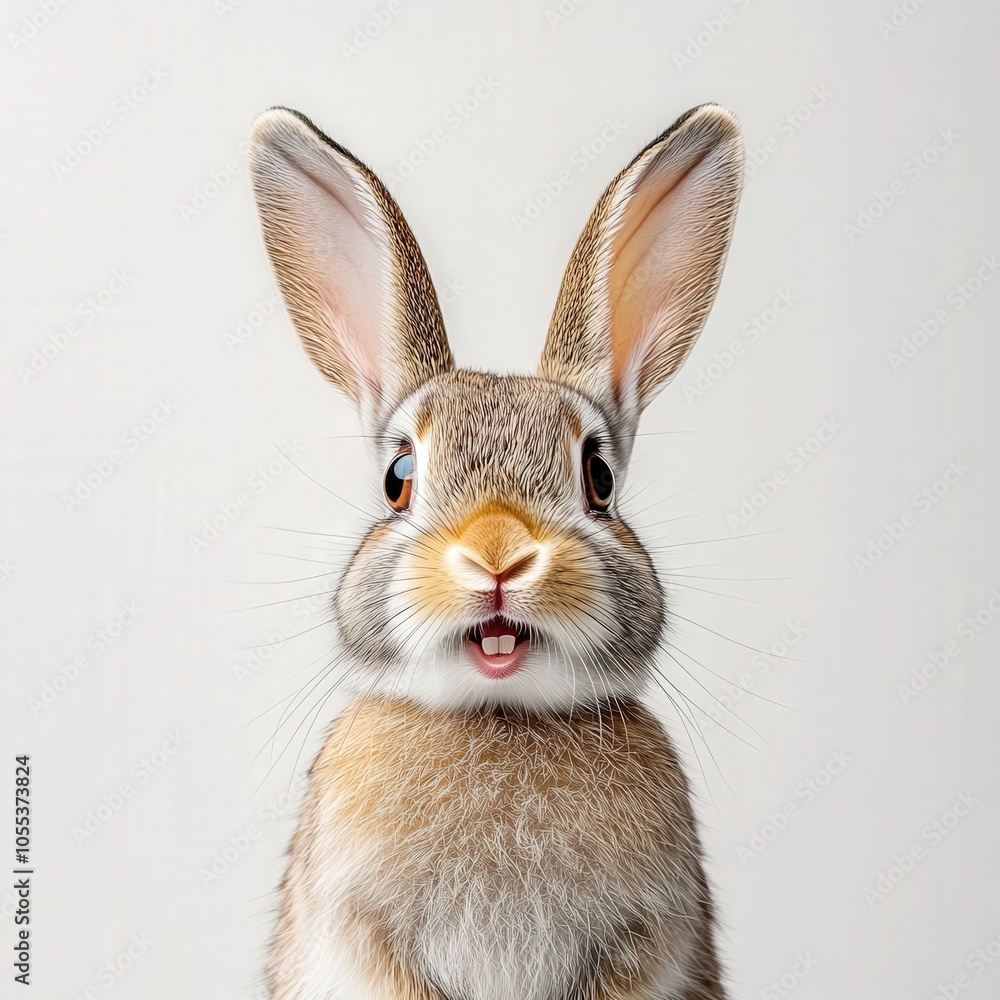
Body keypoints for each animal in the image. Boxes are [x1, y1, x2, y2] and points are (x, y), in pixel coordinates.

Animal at [247, 101, 744, 1000]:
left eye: (599, 478)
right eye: (398, 479)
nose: (498, 557)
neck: (500, 716)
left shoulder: (645, 939)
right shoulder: (358, 931)